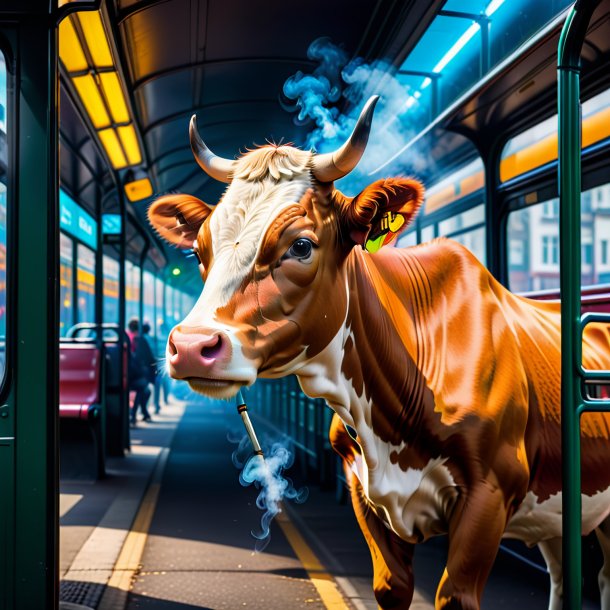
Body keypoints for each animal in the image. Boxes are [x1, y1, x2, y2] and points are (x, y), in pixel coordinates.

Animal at [148, 96, 608, 608]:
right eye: (200, 251)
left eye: (301, 245)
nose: (192, 346)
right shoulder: (362, 491)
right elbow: (391, 586)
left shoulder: (489, 496)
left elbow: (455, 594)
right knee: (564, 575)